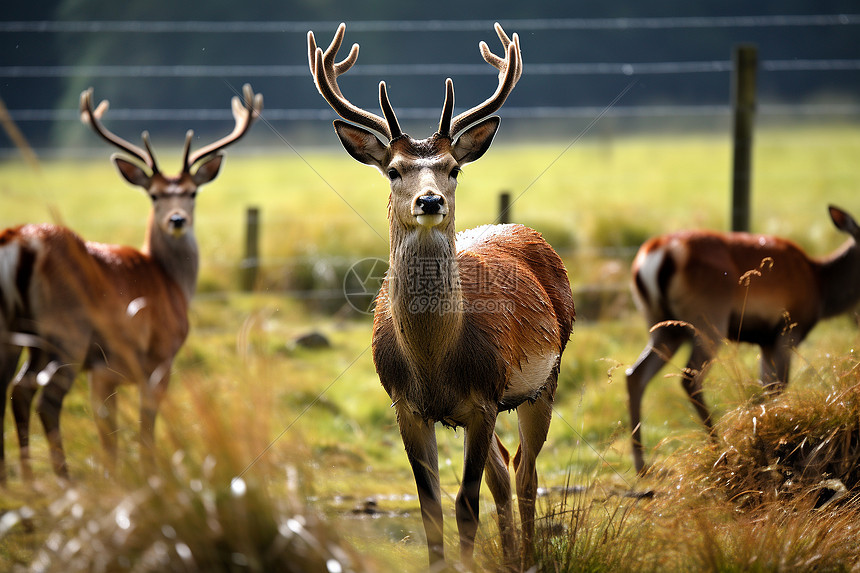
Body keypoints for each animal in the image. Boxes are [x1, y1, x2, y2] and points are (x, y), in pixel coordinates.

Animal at [0, 82, 262, 480]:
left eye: (192, 192)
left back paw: (25, 479)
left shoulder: (103, 372)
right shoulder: (158, 355)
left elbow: (108, 437)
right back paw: (62, 479)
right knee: (42, 397)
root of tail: (22, 241)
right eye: (154, 194)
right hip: (67, 331)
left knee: (12, 389)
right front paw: (149, 476)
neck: (171, 282)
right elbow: (144, 428)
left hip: (16, 331)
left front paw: (118, 478)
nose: (176, 220)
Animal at [306, 22, 576, 568]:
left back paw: (528, 556)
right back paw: (510, 556)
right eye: (393, 170)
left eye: (453, 168)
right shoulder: (405, 405)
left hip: (544, 379)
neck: (435, 361)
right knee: (504, 472)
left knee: (526, 472)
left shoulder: (483, 397)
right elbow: (430, 505)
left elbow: (465, 505)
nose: (429, 200)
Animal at [624, 206, 860, 474]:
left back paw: (642, 466)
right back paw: (719, 451)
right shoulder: (787, 332)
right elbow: (778, 387)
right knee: (690, 378)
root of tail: (658, 252)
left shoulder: (765, 341)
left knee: (636, 374)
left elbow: (766, 388)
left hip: (662, 326)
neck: (822, 290)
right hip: (709, 320)